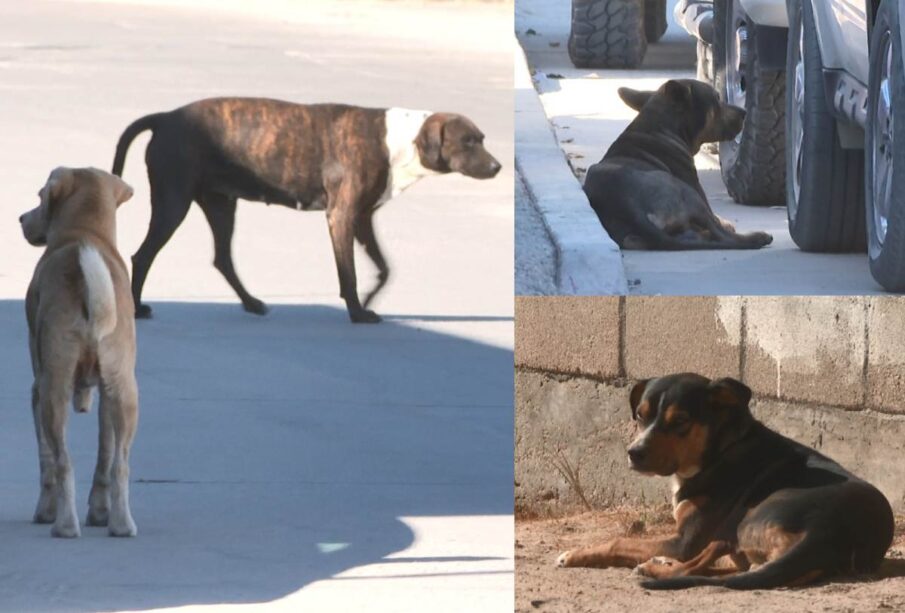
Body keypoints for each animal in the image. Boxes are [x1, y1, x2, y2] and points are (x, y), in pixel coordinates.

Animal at [19, 166, 139, 536]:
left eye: (40, 196)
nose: (21, 219)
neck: (84, 232)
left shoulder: (36, 389)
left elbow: (45, 461)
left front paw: (44, 511)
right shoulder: (106, 391)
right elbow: (105, 454)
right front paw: (99, 513)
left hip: (52, 391)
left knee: (62, 462)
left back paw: (64, 524)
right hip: (125, 392)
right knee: (120, 465)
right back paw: (121, 524)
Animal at [111, 97, 502, 320]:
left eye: (481, 139)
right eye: (469, 141)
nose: (498, 167)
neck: (398, 140)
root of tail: (164, 117)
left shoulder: (362, 218)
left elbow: (384, 268)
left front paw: (369, 299)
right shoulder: (342, 216)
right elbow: (349, 273)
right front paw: (357, 311)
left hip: (221, 205)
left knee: (222, 259)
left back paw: (251, 303)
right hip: (173, 202)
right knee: (142, 256)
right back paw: (137, 308)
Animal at [556, 372, 892, 588]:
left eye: (680, 421)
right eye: (640, 415)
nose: (634, 452)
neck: (721, 449)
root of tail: (826, 532)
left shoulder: (684, 541)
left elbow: (619, 541)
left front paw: (574, 554)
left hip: (749, 517)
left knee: (698, 564)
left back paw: (654, 568)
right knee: (729, 570)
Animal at [588, 80, 768, 250]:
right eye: (717, 98)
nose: (744, 112)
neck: (660, 129)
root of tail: (630, 208)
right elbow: (719, 222)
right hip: (690, 195)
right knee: (721, 234)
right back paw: (758, 237)